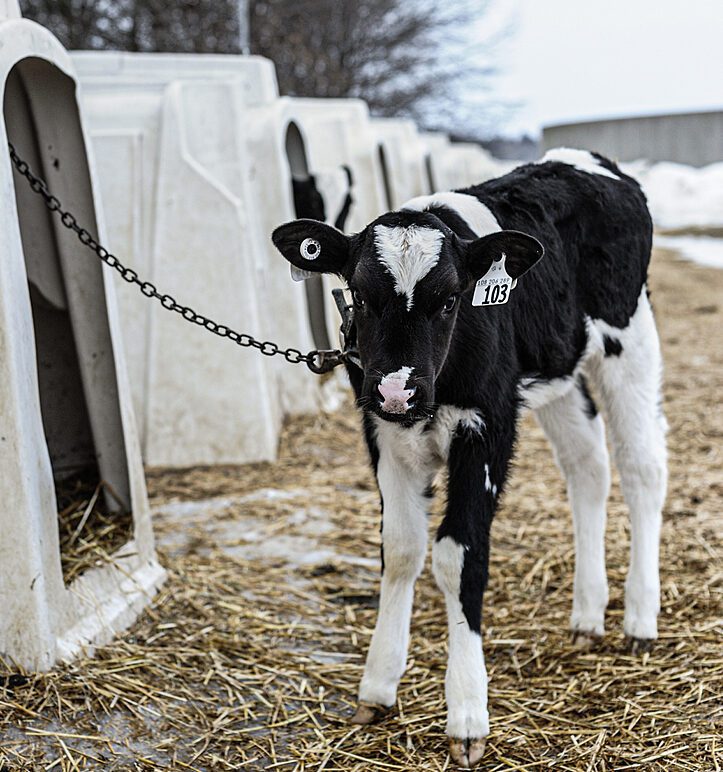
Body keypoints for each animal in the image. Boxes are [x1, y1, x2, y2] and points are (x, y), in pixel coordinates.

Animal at [272, 148, 668, 768]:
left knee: (641, 468)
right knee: (588, 468)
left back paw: (639, 617)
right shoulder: (381, 433)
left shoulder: (488, 426)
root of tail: (583, 159)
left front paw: (466, 713)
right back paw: (587, 614)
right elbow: (400, 550)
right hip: (559, 368)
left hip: (629, 340)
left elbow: (459, 557)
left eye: (451, 299)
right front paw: (378, 685)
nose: (397, 389)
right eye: (360, 295)